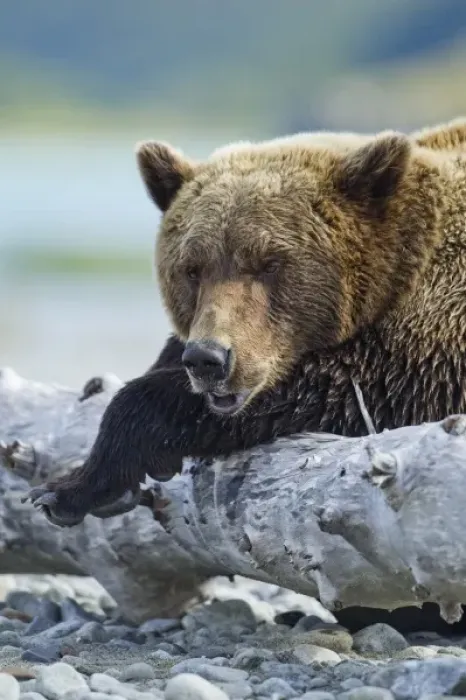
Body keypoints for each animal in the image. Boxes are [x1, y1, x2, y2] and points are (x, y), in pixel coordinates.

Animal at [27, 119, 466, 527]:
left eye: (268, 263)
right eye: (192, 269)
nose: (208, 359)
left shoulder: (427, 345)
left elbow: (344, 385)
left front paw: (69, 489)